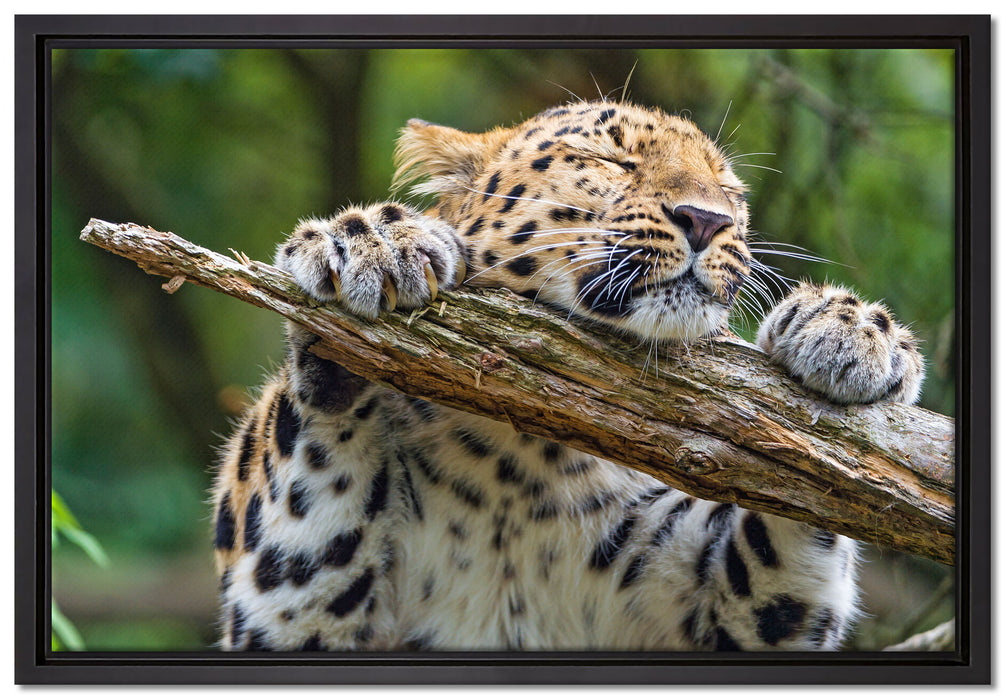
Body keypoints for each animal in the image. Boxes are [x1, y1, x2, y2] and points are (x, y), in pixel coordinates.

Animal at [210, 100, 924, 652]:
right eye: (610, 162)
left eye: (732, 193)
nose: (709, 219)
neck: (522, 459)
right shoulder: (288, 611)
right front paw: (368, 246)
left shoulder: (723, 614)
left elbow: (797, 512)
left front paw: (851, 333)